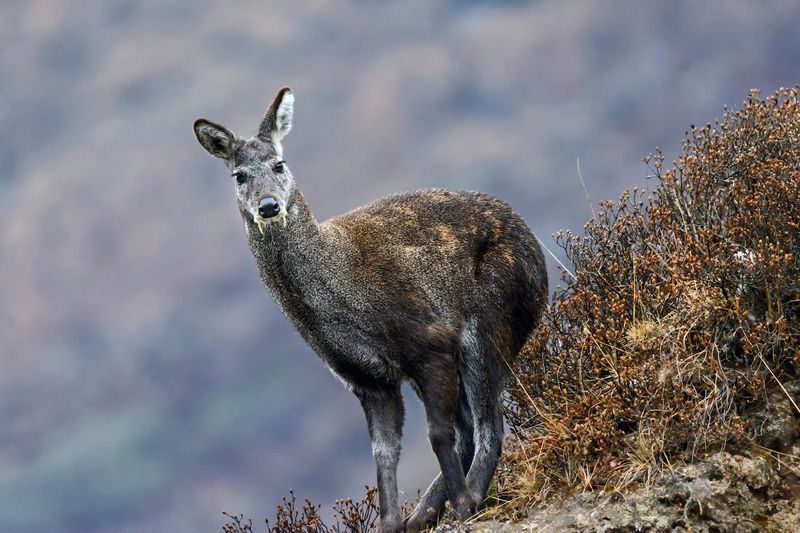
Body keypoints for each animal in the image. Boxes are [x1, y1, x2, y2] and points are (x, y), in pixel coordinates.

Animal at [192, 88, 552, 532]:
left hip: (488, 322)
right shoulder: (367, 379)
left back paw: (465, 502)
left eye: (279, 163)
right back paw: (423, 514)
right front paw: (391, 522)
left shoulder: (429, 341)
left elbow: (437, 434)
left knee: (488, 426)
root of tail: (537, 254)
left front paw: (464, 504)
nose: (269, 206)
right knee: (473, 428)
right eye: (238, 175)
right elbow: (383, 453)